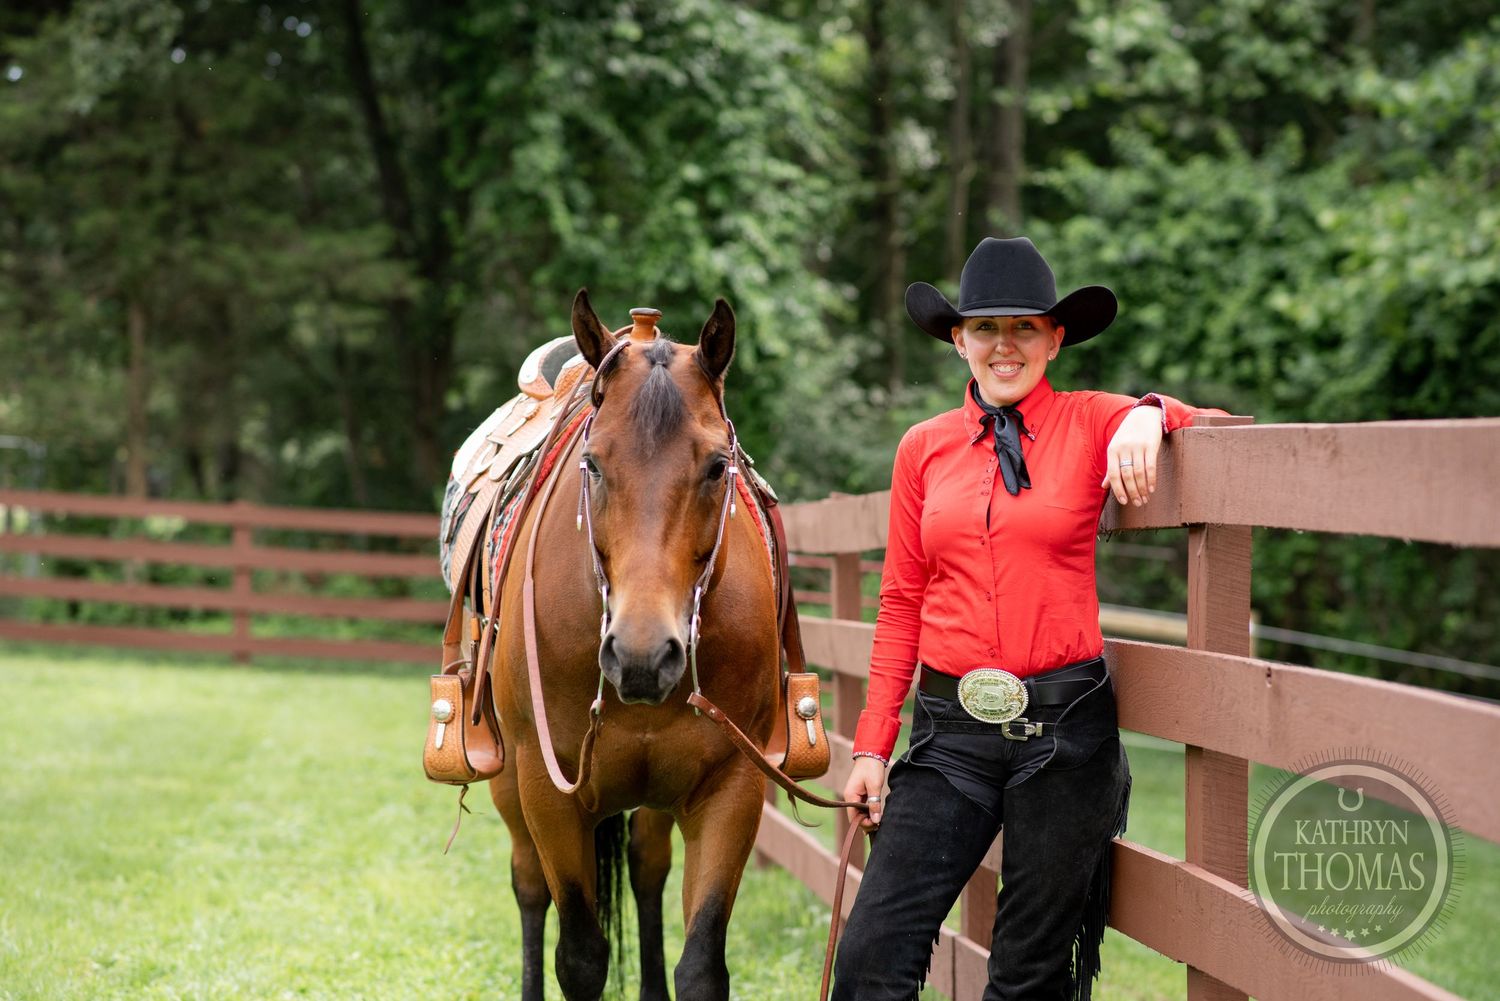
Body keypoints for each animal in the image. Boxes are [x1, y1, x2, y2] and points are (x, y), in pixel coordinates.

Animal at [485, 291, 783, 1001]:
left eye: (717, 466)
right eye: (593, 463)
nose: (643, 657)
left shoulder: (732, 787)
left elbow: (701, 963)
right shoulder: (547, 788)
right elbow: (580, 957)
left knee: (648, 872)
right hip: (511, 785)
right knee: (529, 887)